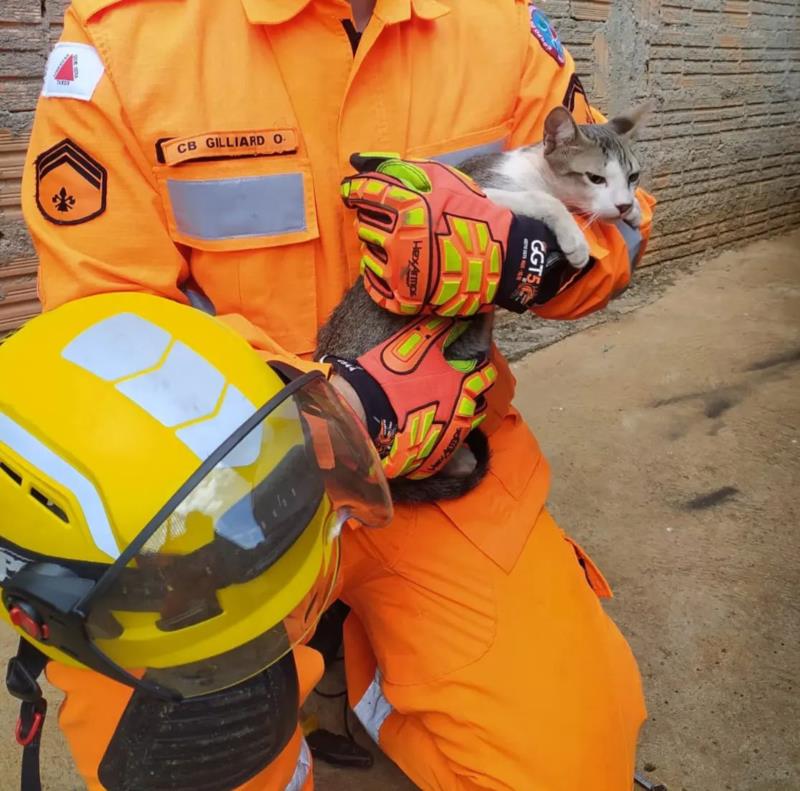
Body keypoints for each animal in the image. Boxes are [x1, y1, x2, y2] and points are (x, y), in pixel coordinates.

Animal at [316, 105, 648, 504]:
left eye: (632, 176)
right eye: (595, 178)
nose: (623, 203)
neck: (535, 172)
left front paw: (634, 212)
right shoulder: (485, 191)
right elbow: (546, 202)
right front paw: (575, 239)